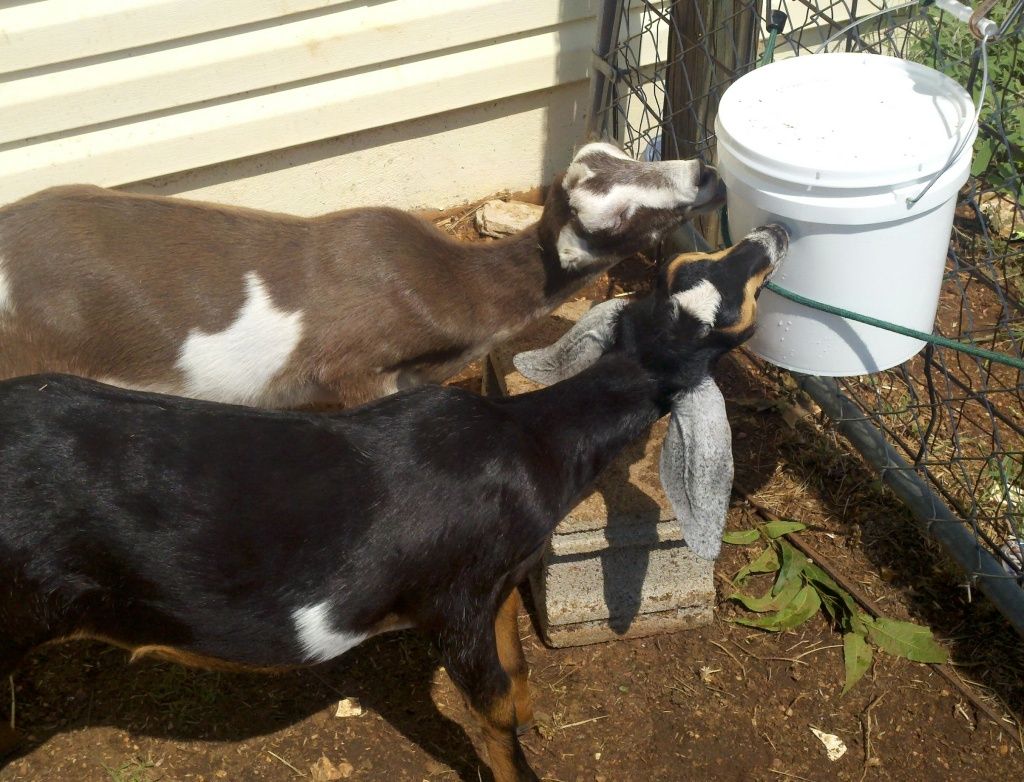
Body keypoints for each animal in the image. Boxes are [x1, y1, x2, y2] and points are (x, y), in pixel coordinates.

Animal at [0, 225, 787, 781]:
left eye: (693, 266)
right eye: (735, 310)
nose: (772, 234)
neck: (529, 440)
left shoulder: (498, 581)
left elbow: (516, 671)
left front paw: (532, 710)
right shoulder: (454, 602)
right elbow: (492, 707)